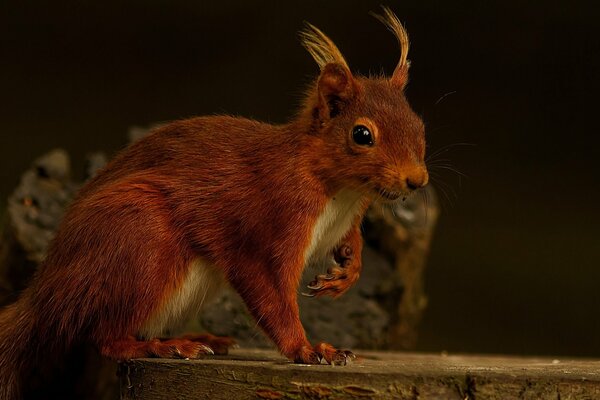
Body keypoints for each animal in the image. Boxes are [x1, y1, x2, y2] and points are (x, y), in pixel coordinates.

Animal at [2, 6, 428, 396]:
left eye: (420, 125)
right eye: (362, 134)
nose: (417, 180)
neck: (340, 192)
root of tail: (45, 295)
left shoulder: (348, 216)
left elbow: (351, 242)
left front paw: (346, 272)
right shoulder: (267, 222)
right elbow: (270, 294)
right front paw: (308, 349)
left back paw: (203, 340)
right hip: (139, 240)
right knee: (105, 337)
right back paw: (165, 346)